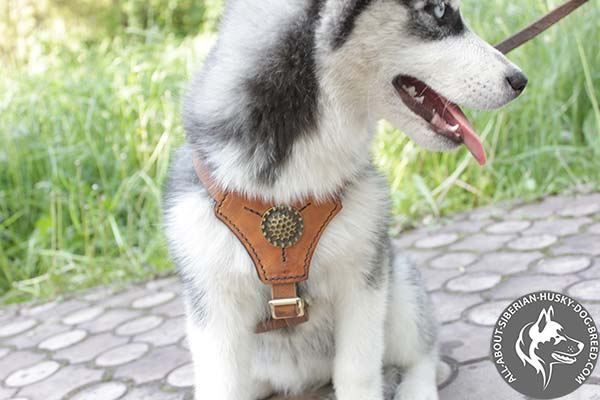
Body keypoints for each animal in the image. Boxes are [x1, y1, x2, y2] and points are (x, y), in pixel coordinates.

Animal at [164, 0, 524, 400]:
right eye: (440, 11)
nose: (520, 80)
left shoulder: (362, 282)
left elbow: (358, 373)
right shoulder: (213, 306)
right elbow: (221, 384)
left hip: (398, 286)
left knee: (423, 355)